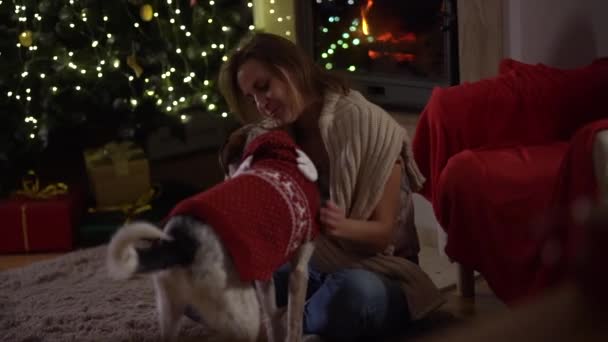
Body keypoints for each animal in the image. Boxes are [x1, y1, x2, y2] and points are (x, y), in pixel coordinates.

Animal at [107, 129, 320, 342]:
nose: (225, 180)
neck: (273, 151)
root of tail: (180, 242)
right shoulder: (299, 271)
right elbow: (294, 321)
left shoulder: (263, 274)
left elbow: (273, 315)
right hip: (243, 314)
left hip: (170, 309)